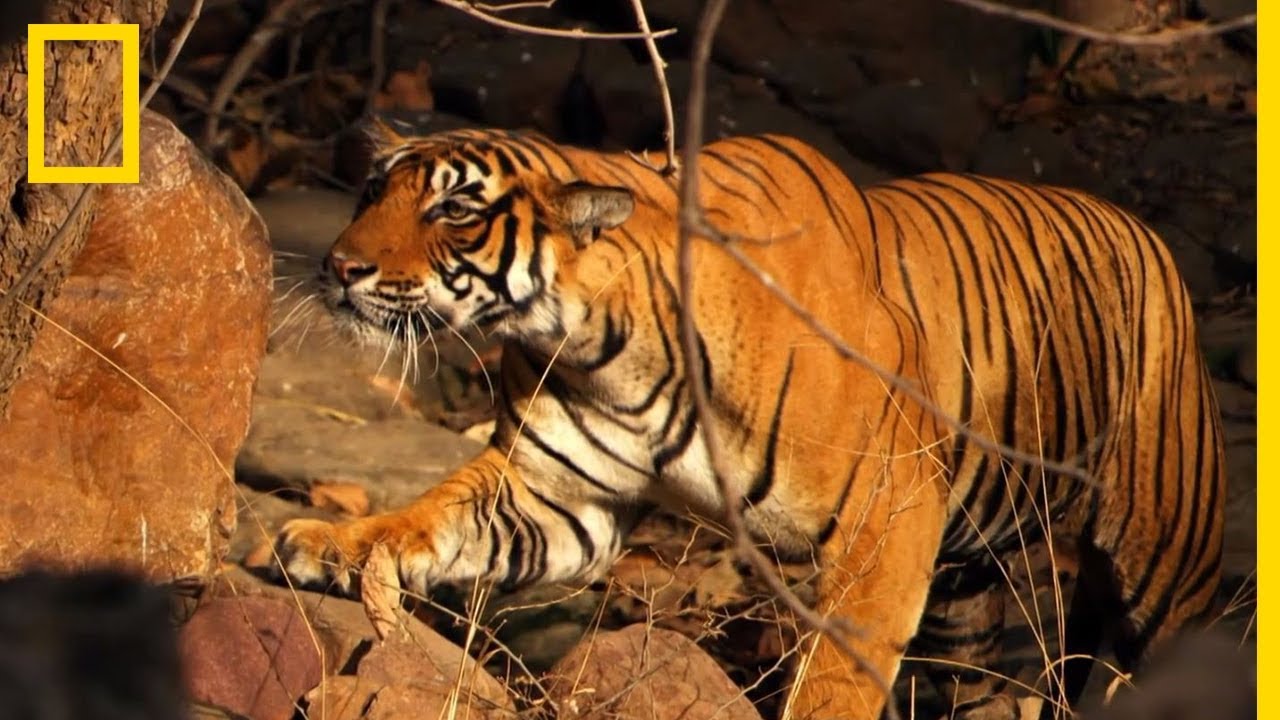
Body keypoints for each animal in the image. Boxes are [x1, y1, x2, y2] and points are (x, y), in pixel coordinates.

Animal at [272, 122, 1226, 720]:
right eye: (370, 191)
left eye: (455, 210)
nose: (339, 267)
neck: (595, 340)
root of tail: (1141, 227)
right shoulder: (556, 499)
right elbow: (431, 516)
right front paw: (332, 544)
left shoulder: (887, 520)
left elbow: (837, 675)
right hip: (966, 589)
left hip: (1162, 563)